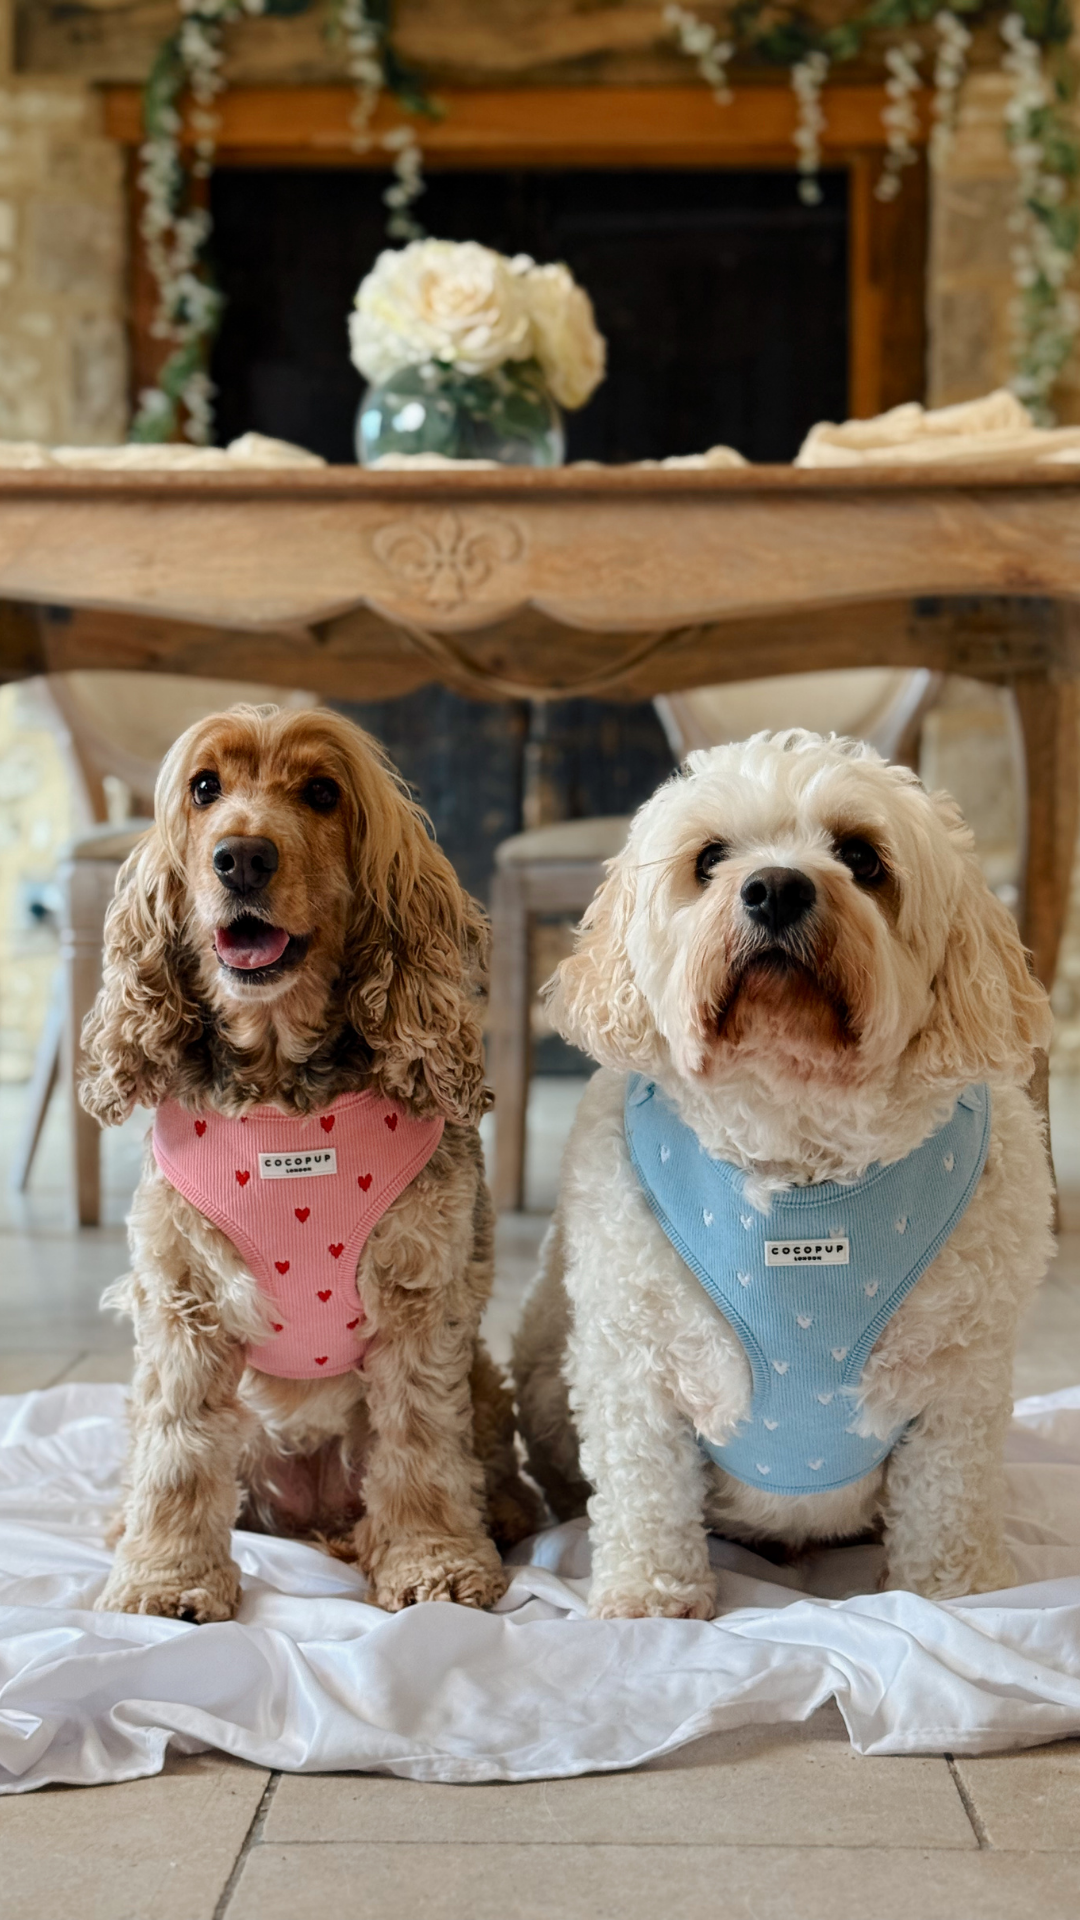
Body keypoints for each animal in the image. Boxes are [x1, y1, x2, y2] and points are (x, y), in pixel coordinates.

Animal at [82, 703, 538, 1621]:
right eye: (205, 787)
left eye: (323, 793)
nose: (243, 857)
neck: (281, 1086)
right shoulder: (183, 1296)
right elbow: (178, 1448)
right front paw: (165, 1579)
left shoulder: (420, 1296)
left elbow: (421, 1442)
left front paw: (435, 1563)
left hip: (479, 1373)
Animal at [513, 730, 1054, 1618]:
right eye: (709, 858)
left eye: (863, 857)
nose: (774, 888)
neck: (799, 1157)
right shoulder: (637, 1369)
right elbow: (646, 1492)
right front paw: (648, 1598)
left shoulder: (958, 1381)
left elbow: (946, 1500)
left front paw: (955, 1592)